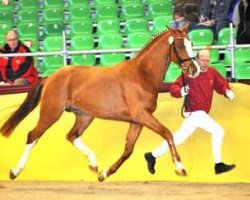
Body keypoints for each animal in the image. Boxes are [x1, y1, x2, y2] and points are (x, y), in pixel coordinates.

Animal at [0, 25, 199, 182]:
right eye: (180, 45)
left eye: (191, 44)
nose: (194, 70)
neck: (142, 75)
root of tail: (50, 77)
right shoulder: (142, 115)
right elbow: (167, 133)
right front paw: (180, 168)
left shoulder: (137, 121)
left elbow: (128, 150)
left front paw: (104, 173)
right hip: (51, 112)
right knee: (33, 135)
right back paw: (14, 171)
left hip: (84, 116)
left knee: (71, 136)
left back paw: (93, 164)